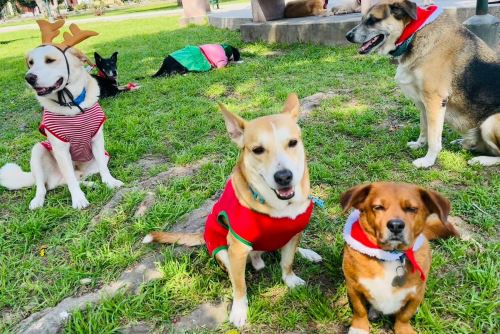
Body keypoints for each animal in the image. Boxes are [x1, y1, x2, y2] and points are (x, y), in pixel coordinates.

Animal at [0, 20, 123, 209]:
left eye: (50, 60)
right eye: (31, 63)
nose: (29, 77)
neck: (72, 106)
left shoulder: (97, 140)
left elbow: (104, 169)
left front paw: (110, 182)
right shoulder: (60, 149)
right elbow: (70, 179)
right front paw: (78, 199)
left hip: (101, 157)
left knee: (75, 179)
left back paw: (92, 184)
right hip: (38, 151)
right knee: (46, 185)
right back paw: (38, 201)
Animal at [142, 92, 320, 328]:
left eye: (292, 143)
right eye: (257, 150)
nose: (284, 177)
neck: (279, 206)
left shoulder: (293, 232)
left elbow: (287, 262)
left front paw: (290, 279)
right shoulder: (237, 249)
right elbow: (240, 285)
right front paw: (239, 310)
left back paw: (306, 253)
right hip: (222, 250)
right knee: (238, 270)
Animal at [338, 183, 458, 334]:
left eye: (412, 209)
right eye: (378, 207)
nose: (396, 225)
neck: (390, 256)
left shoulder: (416, 295)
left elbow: (404, 316)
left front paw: (404, 329)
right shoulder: (353, 287)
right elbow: (360, 310)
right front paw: (359, 328)